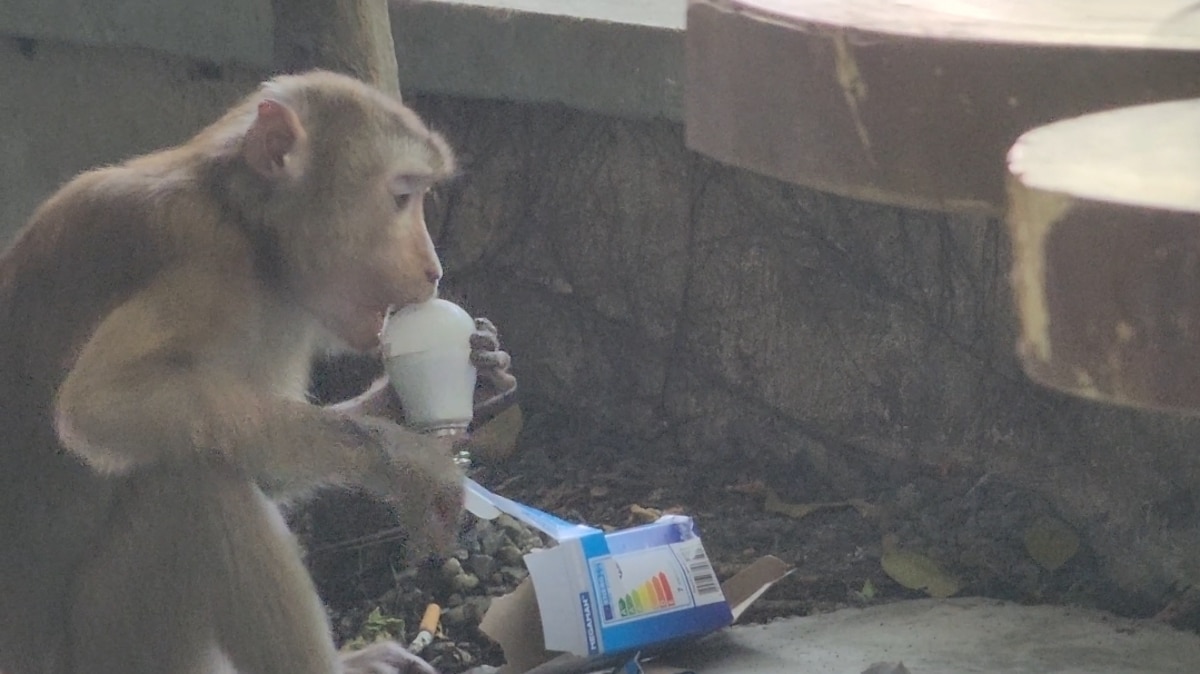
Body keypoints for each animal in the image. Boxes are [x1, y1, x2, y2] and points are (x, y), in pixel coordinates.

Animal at [0, 69, 511, 671]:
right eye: (402, 196)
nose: (433, 269)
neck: (245, 222)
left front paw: (456, 386)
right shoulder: (213, 271)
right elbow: (100, 405)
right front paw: (407, 459)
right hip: (115, 650)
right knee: (195, 488)